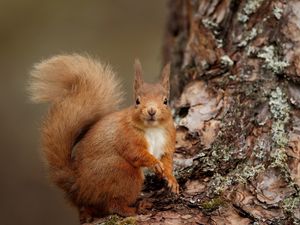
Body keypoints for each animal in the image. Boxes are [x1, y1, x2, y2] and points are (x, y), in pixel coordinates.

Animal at [28, 54, 178, 221]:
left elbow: (167, 160)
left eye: (165, 101)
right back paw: (135, 208)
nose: (151, 111)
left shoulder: (167, 142)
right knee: (113, 205)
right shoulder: (126, 137)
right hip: (122, 173)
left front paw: (171, 179)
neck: (153, 128)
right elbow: (136, 153)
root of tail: (78, 187)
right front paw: (154, 163)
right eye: (137, 101)